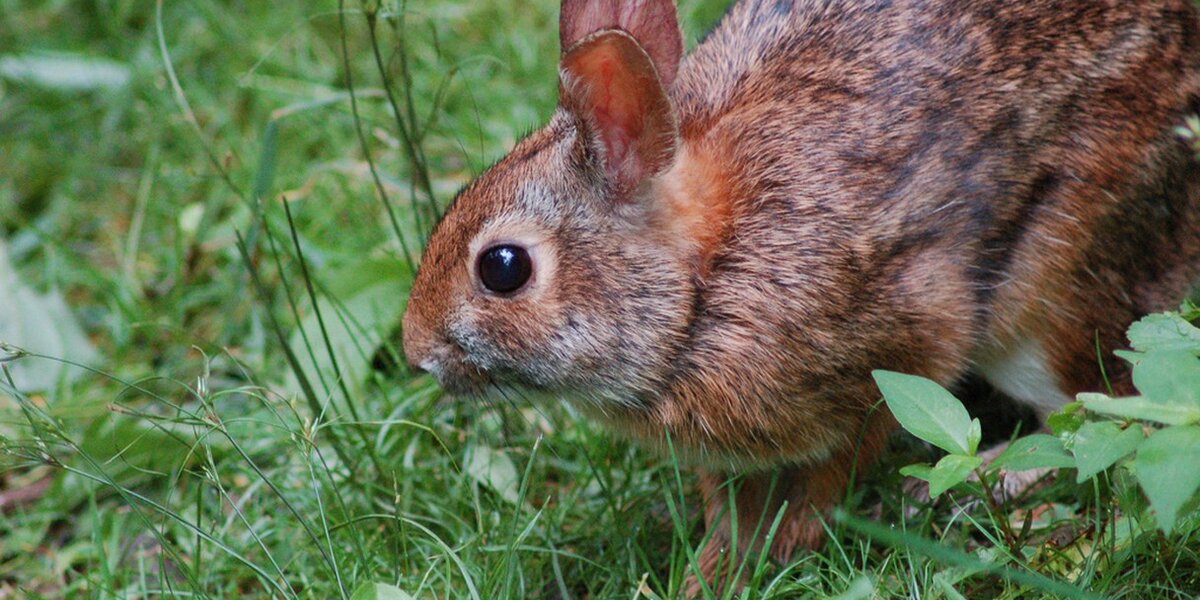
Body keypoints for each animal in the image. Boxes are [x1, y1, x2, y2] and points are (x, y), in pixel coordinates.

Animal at [402, 0, 1200, 591]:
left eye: (503, 267)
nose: (417, 351)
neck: (705, 282)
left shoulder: (902, 345)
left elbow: (835, 470)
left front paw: (791, 543)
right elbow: (729, 508)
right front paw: (710, 574)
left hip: (1054, 294)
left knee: (1102, 415)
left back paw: (988, 482)